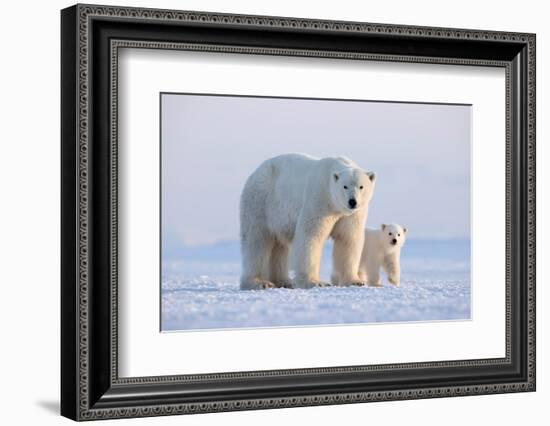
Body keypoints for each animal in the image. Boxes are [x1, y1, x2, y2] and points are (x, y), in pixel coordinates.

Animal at [239, 153, 378, 290]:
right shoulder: (319, 200)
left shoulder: (350, 215)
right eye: (345, 186)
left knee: (279, 246)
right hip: (261, 202)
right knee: (256, 241)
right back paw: (259, 282)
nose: (352, 201)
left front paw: (355, 281)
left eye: (361, 186)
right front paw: (315, 282)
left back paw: (284, 281)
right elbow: (310, 236)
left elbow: (348, 239)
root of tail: (255, 173)